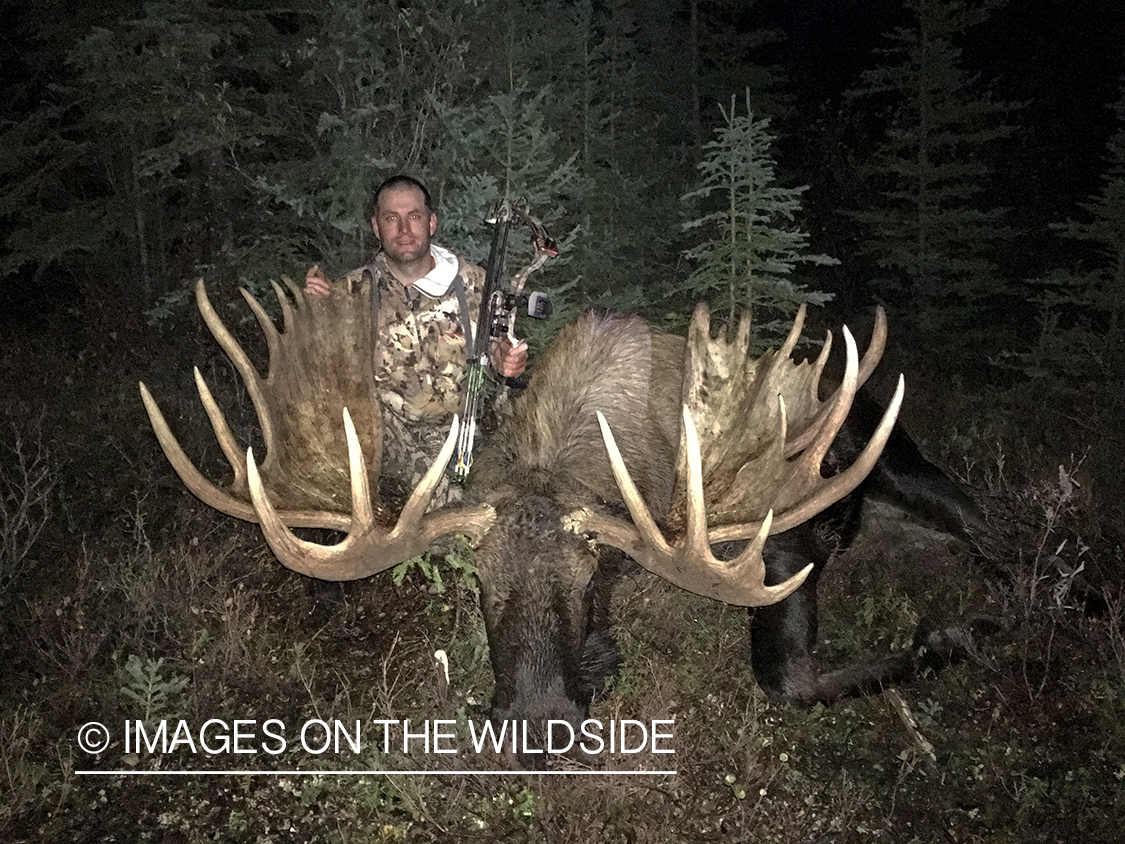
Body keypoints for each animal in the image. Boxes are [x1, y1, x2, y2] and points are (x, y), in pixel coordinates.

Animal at [140, 279, 994, 765]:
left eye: (595, 577)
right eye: (478, 586)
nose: (538, 727)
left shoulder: (771, 533)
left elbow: (788, 677)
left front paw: (946, 634)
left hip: (898, 461)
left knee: (991, 523)